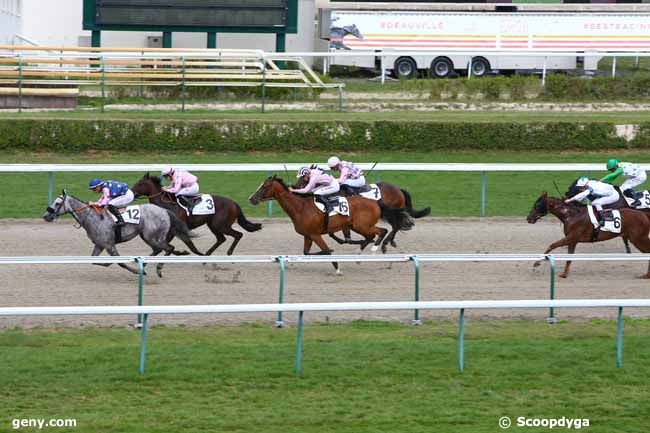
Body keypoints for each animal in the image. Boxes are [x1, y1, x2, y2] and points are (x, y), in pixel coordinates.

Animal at [43, 190, 200, 276]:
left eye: (57, 203)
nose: (46, 216)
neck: (93, 218)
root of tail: (164, 210)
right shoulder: (100, 245)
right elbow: (95, 261)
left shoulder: (109, 245)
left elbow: (120, 262)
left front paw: (137, 271)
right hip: (147, 236)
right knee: (160, 249)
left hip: (152, 236)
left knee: (168, 247)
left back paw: (159, 268)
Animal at [132, 171, 260, 255]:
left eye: (139, 183)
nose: (131, 193)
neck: (167, 205)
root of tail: (234, 203)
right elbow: (163, 246)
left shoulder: (176, 229)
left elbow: (186, 246)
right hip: (213, 225)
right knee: (221, 239)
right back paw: (208, 254)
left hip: (221, 225)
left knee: (238, 235)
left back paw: (228, 252)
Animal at [248, 176, 410, 274]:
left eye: (265, 186)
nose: (251, 199)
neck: (300, 207)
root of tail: (375, 202)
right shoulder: (308, 235)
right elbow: (306, 252)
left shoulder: (315, 234)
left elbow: (325, 250)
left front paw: (337, 268)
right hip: (357, 226)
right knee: (373, 235)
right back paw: (360, 255)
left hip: (362, 226)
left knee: (381, 231)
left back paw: (375, 249)